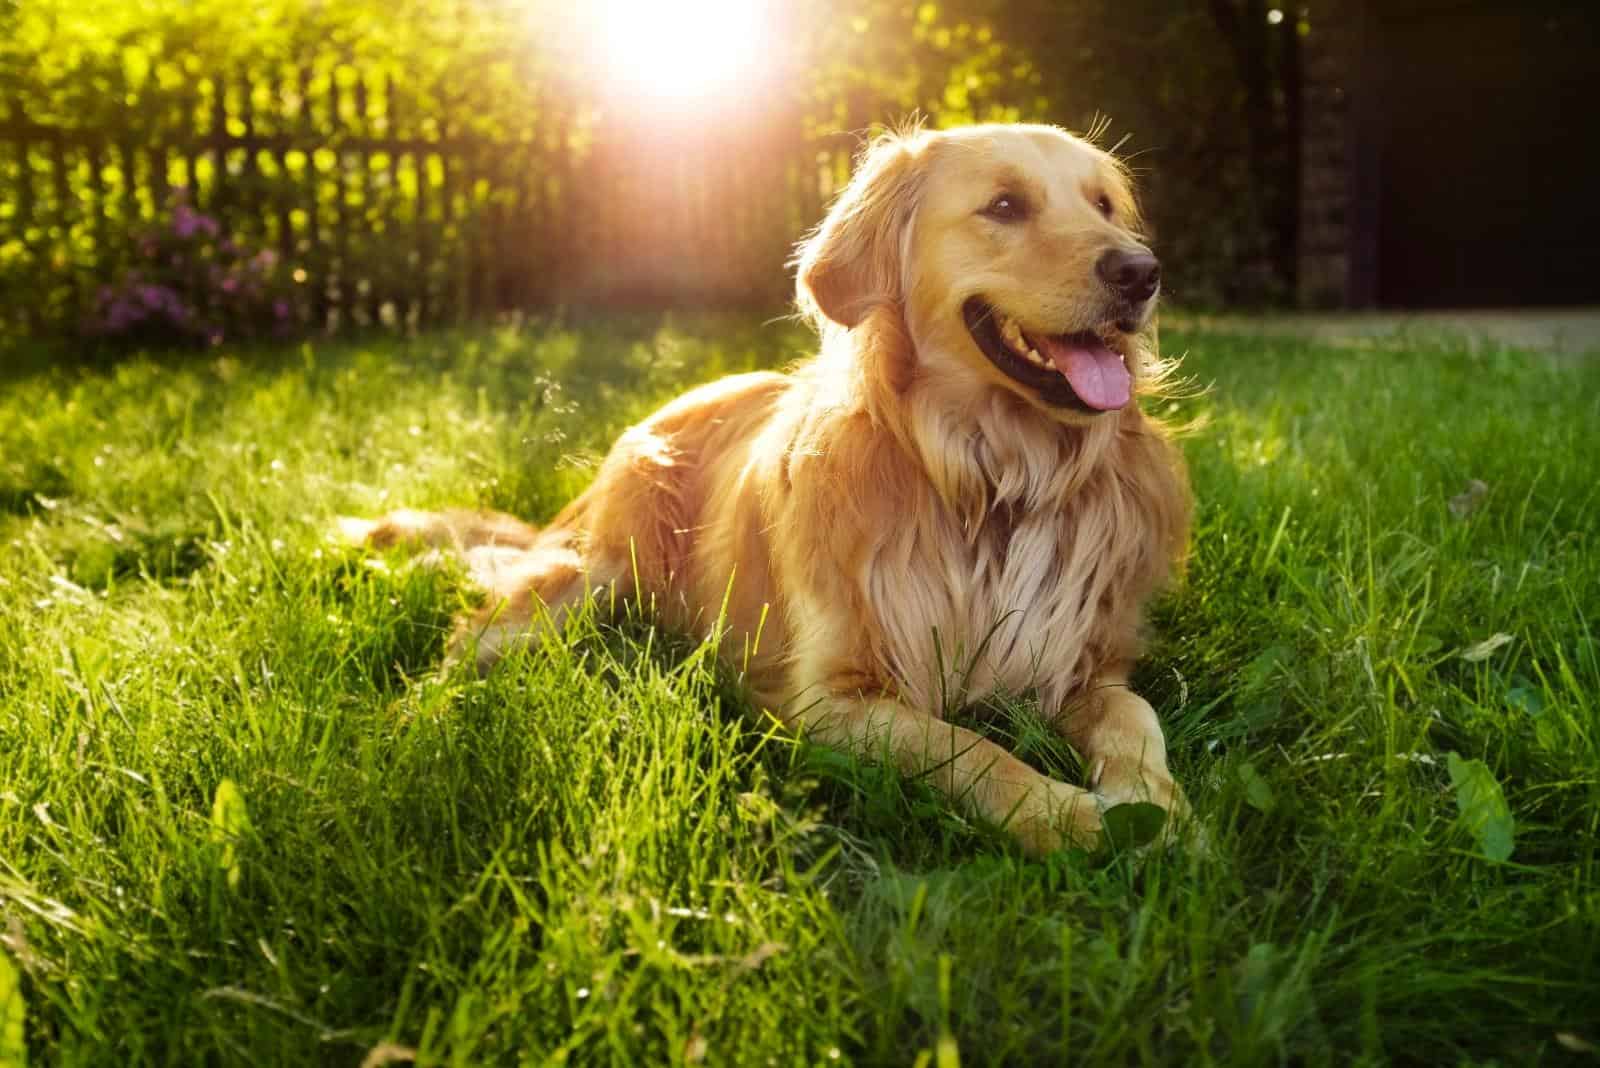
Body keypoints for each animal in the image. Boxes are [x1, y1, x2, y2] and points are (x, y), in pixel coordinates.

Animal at [340, 125, 1190, 856]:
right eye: (1006, 206)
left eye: (1103, 205)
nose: (1142, 273)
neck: (991, 480)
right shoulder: (833, 697)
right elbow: (970, 748)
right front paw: (1070, 817)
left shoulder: (1083, 662)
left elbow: (1135, 716)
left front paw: (1157, 807)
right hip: (588, 577)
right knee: (459, 651)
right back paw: (410, 728)